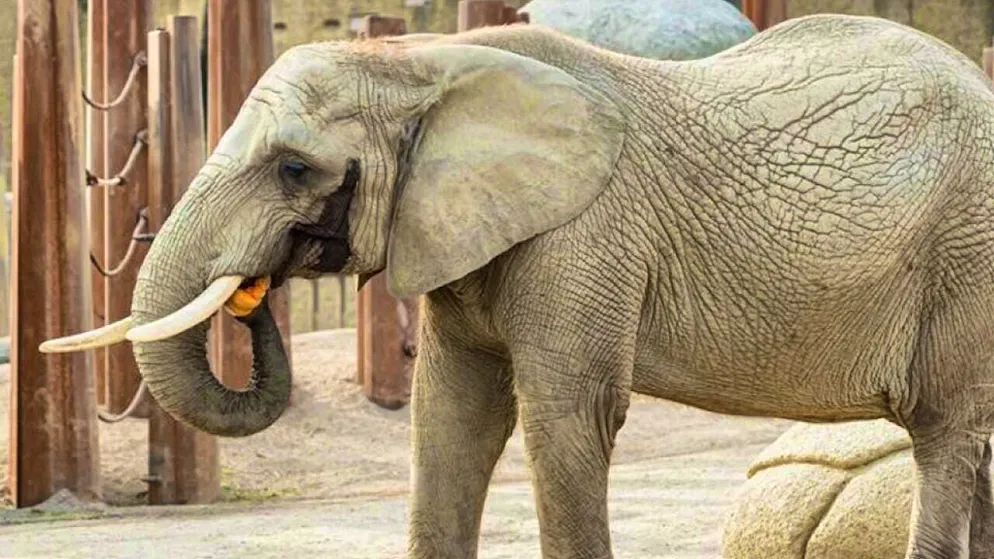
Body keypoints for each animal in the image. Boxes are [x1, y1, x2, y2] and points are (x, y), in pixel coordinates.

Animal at [40, 13, 994, 559]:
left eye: (294, 169)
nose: (254, 293)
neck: (423, 63)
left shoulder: (583, 234)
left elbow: (567, 413)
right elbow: (451, 415)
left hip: (966, 253)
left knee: (944, 429)